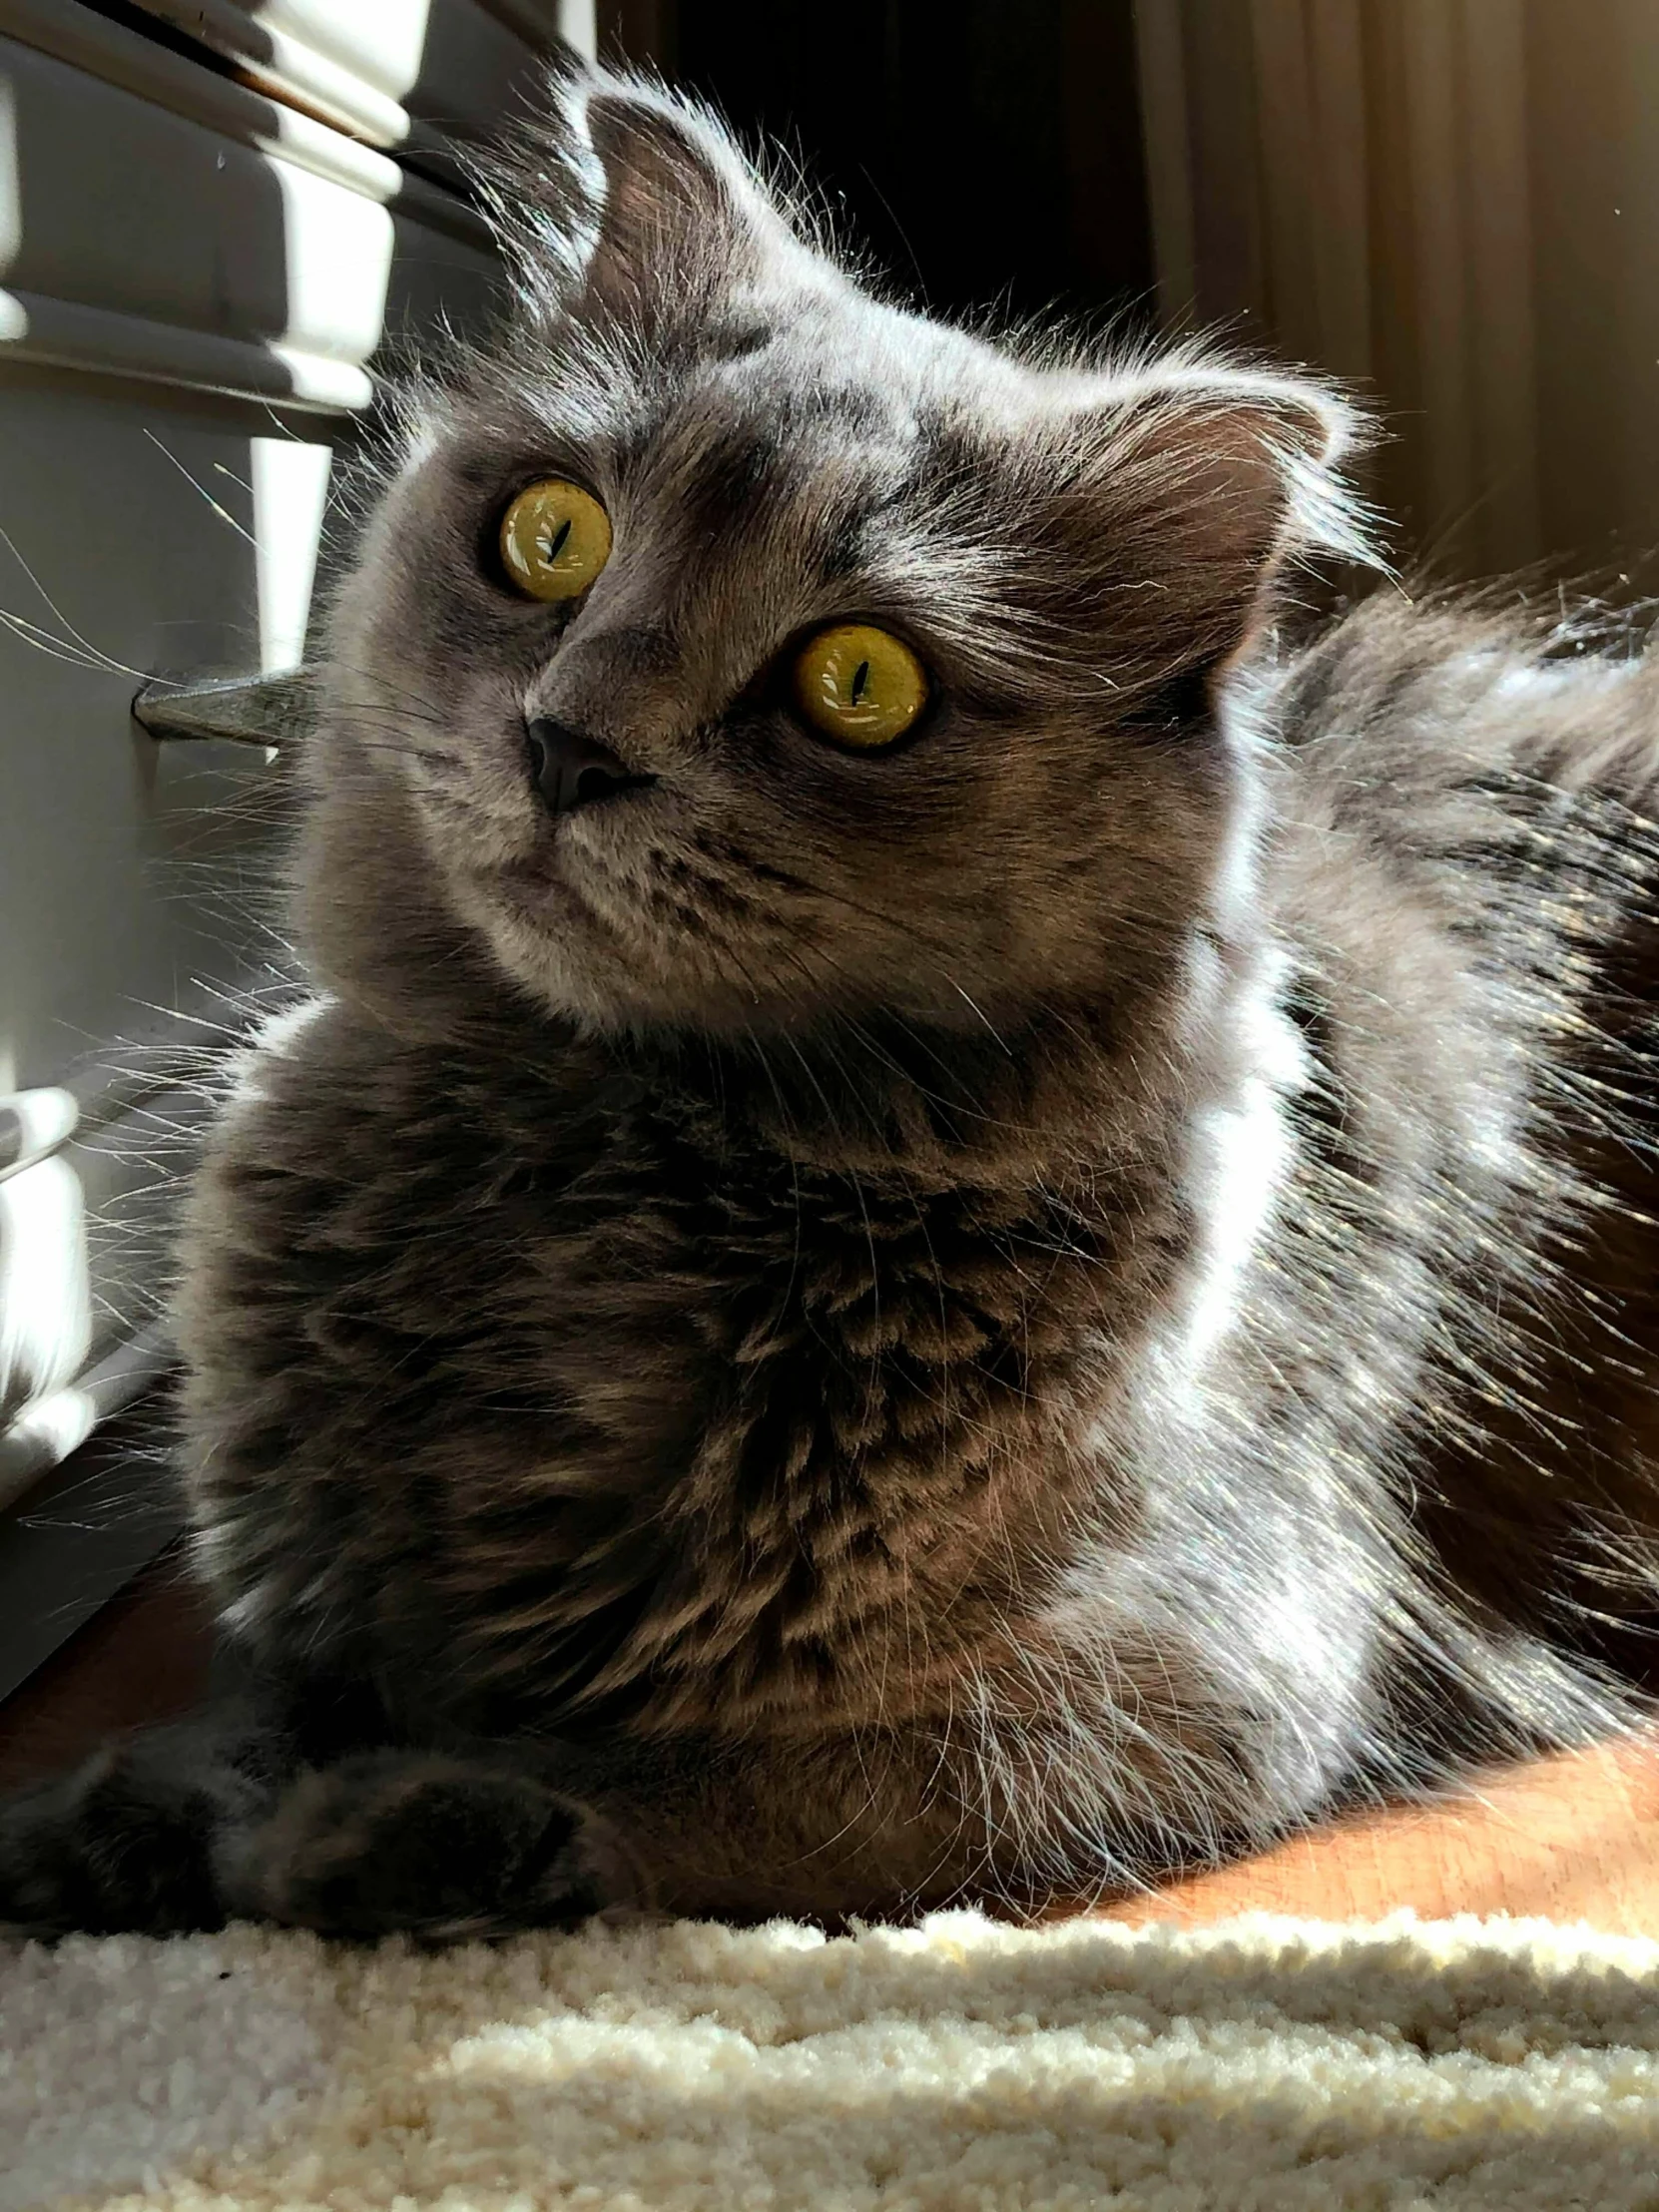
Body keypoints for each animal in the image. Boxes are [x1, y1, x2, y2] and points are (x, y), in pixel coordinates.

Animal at [3, 64, 1659, 1937]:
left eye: (857, 684)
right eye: (549, 534)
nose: (566, 740)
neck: (582, 1161)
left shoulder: (1195, 1689)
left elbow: (721, 1791)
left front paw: (389, 1827)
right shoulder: (307, 1580)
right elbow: (255, 1696)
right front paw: (106, 1822)